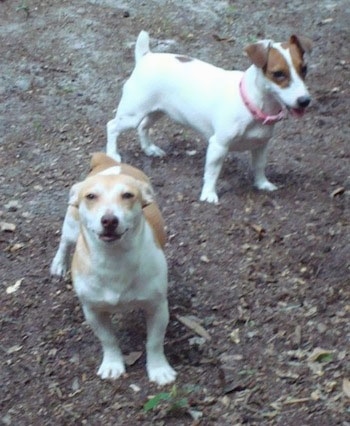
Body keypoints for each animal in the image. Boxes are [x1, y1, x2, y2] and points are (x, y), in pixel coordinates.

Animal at [50, 153, 176, 386]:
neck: (114, 258)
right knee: (64, 241)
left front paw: (159, 369)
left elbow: (154, 341)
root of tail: (108, 162)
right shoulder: (93, 311)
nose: (109, 220)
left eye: (128, 195)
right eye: (91, 196)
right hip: (71, 225)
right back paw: (59, 264)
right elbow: (108, 339)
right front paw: (112, 364)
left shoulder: (157, 308)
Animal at [106, 30, 312, 203]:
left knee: (144, 126)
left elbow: (259, 166)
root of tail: (145, 56)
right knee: (112, 126)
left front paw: (262, 184)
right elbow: (212, 172)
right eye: (278, 74)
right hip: (132, 114)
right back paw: (113, 154)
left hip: (158, 111)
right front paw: (209, 194)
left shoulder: (261, 145)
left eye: (304, 69)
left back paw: (150, 149)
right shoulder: (218, 146)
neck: (252, 103)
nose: (305, 100)